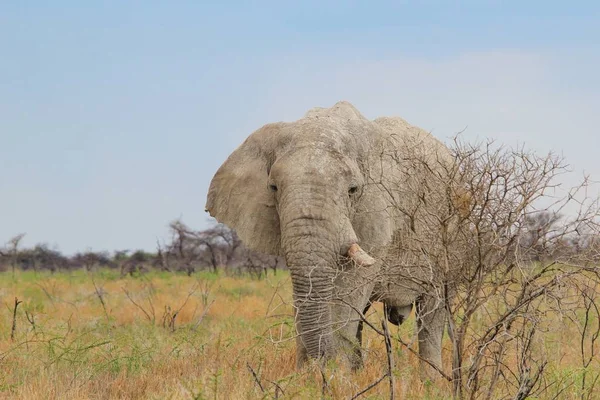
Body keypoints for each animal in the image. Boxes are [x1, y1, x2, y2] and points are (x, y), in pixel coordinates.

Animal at [206, 101, 454, 380]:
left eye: (353, 190)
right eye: (273, 188)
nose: (320, 363)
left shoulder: (380, 212)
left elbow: (350, 290)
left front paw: (337, 376)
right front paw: (312, 377)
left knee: (432, 311)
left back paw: (432, 381)